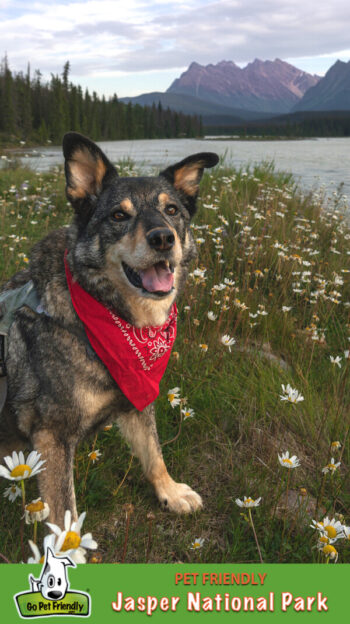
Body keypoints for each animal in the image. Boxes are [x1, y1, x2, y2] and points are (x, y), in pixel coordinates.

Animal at [0, 133, 219, 528]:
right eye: (119, 215)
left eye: (172, 210)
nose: (163, 238)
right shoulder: (52, 436)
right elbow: (66, 514)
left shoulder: (134, 398)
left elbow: (153, 452)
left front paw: (170, 491)